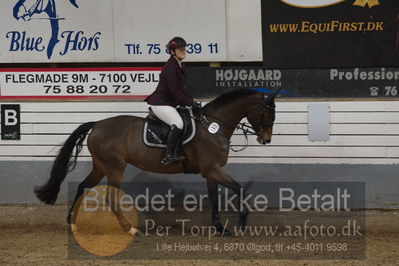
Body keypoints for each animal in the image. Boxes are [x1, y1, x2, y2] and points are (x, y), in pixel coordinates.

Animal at [34, 88, 278, 236]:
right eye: (268, 114)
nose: (266, 140)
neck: (212, 126)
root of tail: (97, 124)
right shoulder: (213, 169)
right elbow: (239, 189)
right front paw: (241, 223)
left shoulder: (211, 172)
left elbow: (215, 199)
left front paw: (220, 228)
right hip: (115, 167)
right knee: (111, 197)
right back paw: (129, 230)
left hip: (101, 165)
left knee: (83, 186)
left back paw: (73, 224)